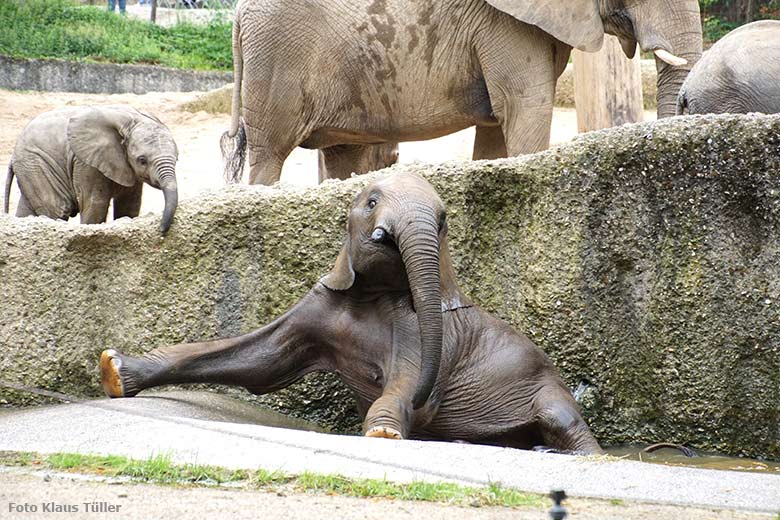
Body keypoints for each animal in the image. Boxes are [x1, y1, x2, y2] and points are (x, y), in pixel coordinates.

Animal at [4, 104, 178, 233]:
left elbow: (130, 205)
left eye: (176, 159)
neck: (132, 120)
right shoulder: (85, 162)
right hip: (36, 163)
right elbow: (95, 205)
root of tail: (13, 154)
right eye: (142, 160)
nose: (161, 230)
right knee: (58, 207)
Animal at [102, 173, 604, 452]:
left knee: (565, 424)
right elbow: (260, 361)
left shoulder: (415, 327)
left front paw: (383, 434)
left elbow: (405, 379)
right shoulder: (321, 300)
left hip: (549, 390)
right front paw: (114, 371)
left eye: (443, 221)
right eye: (371, 201)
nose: (385, 234)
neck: (373, 292)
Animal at [222, 0, 704, 185]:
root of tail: (238, 14)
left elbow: (497, 126)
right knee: (270, 154)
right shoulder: (504, 24)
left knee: (344, 156)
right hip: (277, 56)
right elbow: (525, 108)